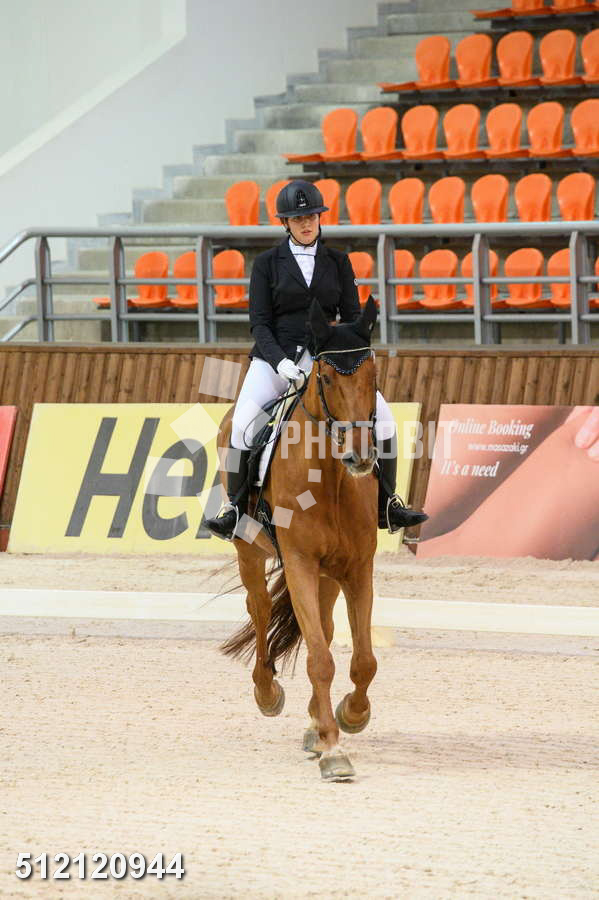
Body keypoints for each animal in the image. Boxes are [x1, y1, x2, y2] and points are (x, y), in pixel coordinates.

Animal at [218, 297, 380, 781]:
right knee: (259, 609)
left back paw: (314, 724)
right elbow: (319, 660)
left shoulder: (358, 567)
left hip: (328, 573)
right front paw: (334, 750)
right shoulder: (300, 564)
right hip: (250, 552)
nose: (359, 456)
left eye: (373, 376)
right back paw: (267, 693)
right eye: (325, 378)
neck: (330, 479)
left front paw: (350, 716)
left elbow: (362, 659)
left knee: (322, 629)